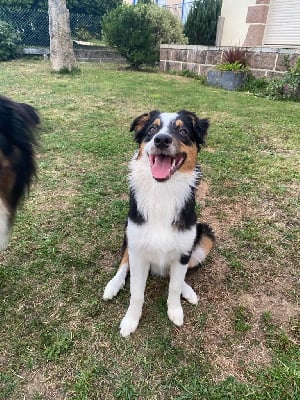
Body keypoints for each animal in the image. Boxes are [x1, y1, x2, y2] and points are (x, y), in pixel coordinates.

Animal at [104, 110, 214, 338]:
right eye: (152, 129)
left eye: (183, 131)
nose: (161, 139)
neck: (162, 192)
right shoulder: (137, 248)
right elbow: (136, 292)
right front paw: (130, 321)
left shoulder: (183, 250)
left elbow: (174, 286)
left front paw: (175, 311)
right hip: (128, 234)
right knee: (123, 262)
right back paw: (112, 286)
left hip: (206, 235)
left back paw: (188, 290)